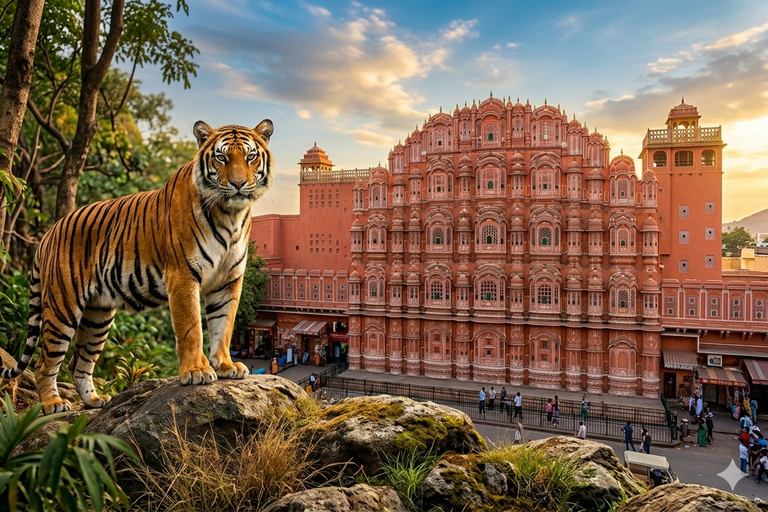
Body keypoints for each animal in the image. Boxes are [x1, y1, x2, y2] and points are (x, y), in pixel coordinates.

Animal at [0, 119, 274, 415]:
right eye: (221, 158)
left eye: (250, 156)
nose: (238, 183)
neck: (230, 214)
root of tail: (49, 233)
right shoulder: (182, 276)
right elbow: (191, 328)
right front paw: (197, 371)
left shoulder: (228, 280)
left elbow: (224, 326)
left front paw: (225, 366)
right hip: (63, 307)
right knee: (45, 362)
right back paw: (54, 404)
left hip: (98, 316)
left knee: (78, 363)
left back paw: (94, 401)